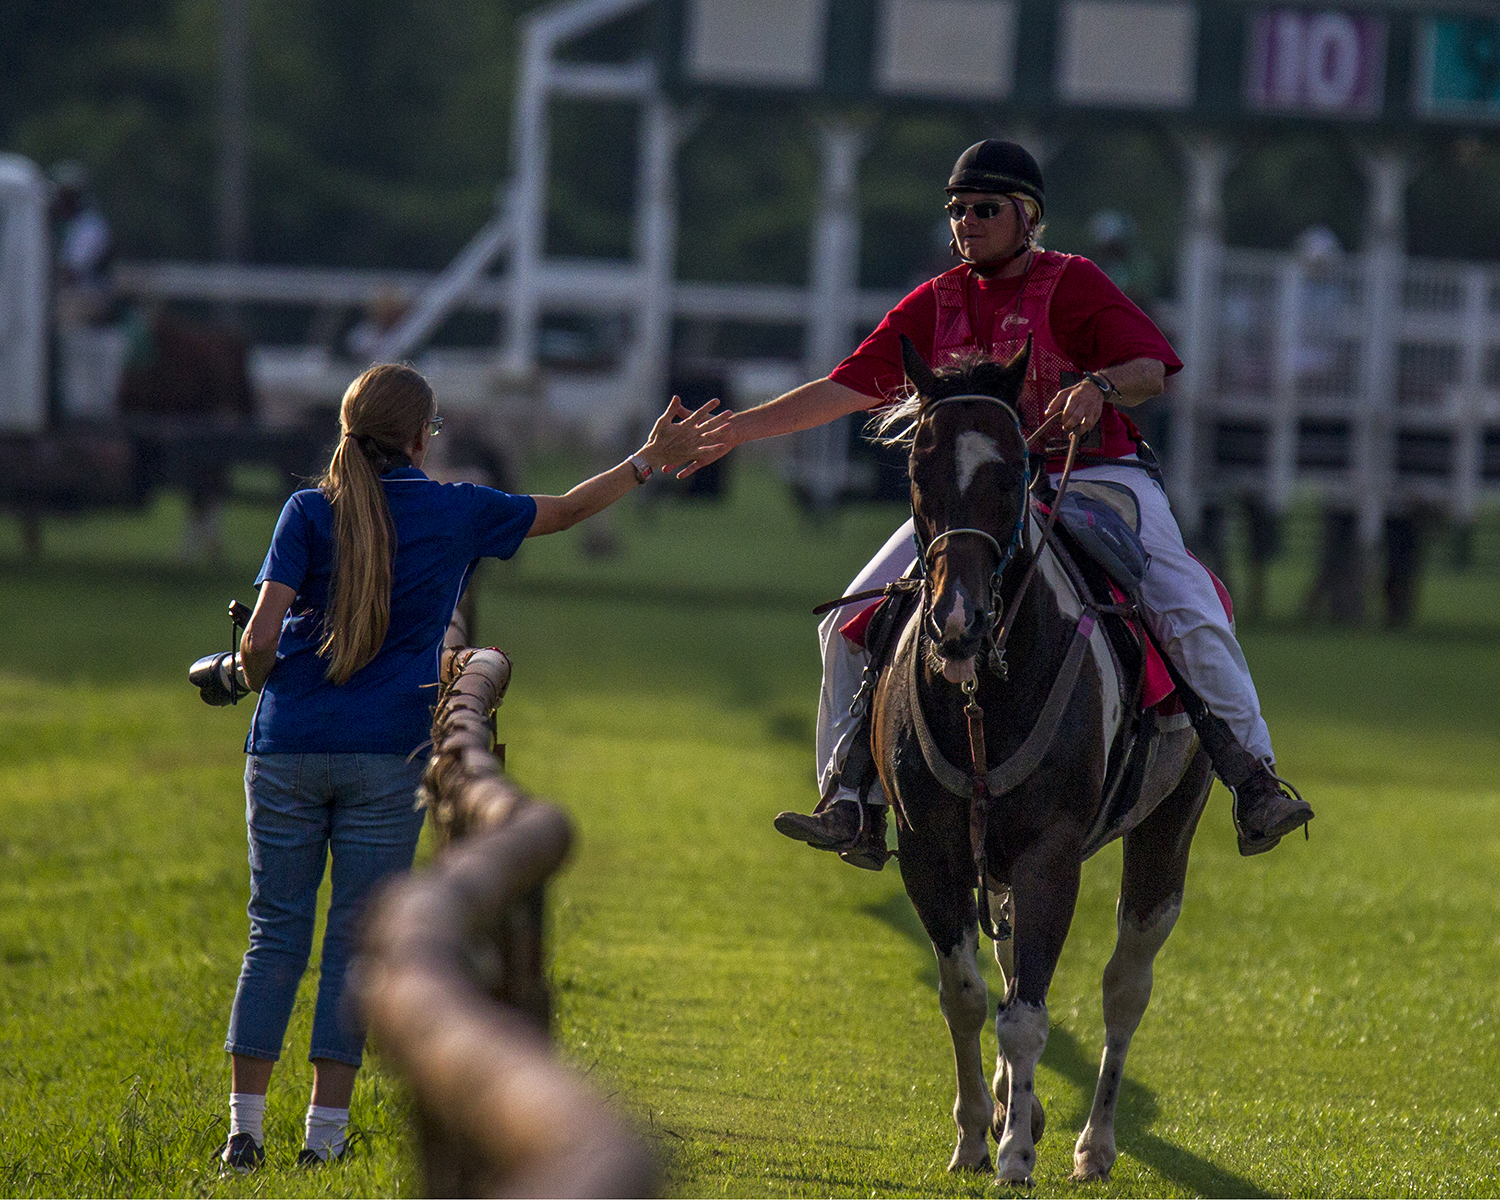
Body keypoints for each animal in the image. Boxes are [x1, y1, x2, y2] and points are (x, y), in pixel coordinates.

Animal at [876, 337, 1212, 1182]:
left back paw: (1094, 1144)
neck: (982, 696)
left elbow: (1027, 1014)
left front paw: (1017, 1155)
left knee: (1125, 988)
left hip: (1166, 832)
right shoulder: (927, 852)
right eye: (918, 471)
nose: (957, 620)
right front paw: (975, 1134)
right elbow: (967, 996)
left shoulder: (1049, 855)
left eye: (1011, 473)